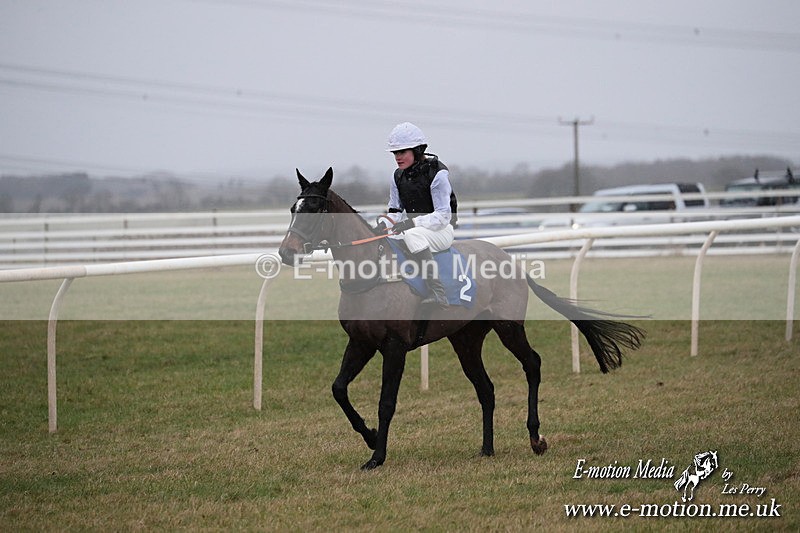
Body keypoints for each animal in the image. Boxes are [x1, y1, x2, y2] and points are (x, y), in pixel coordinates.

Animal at [278, 167, 645, 470]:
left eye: (314, 209)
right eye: (294, 209)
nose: (286, 252)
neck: (373, 271)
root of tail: (513, 262)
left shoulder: (394, 347)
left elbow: (386, 402)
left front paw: (377, 456)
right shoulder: (361, 342)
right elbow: (339, 389)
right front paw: (368, 437)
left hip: (509, 327)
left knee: (532, 364)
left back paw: (535, 437)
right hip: (465, 339)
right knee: (486, 387)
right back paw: (487, 448)